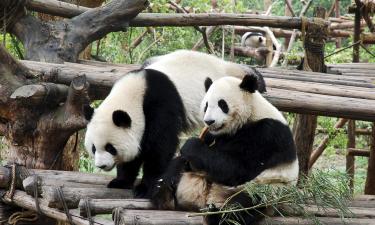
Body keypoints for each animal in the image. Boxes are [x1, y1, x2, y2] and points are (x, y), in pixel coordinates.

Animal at [84, 49, 268, 197]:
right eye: (93, 148)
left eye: (110, 148)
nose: (101, 165)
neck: (136, 93)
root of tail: (221, 63)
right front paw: (120, 181)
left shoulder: (161, 106)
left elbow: (160, 147)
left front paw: (145, 187)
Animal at [151, 73, 298, 224]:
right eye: (206, 105)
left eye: (222, 104)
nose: (209, 121)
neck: (251, 114)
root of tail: (206, 198)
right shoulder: (214, 135)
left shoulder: (267, 135)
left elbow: (236, 168)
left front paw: (191, 144)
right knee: (176, 166)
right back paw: (163, 194)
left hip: (266, 189)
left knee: (246, 204)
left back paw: (216, 215)